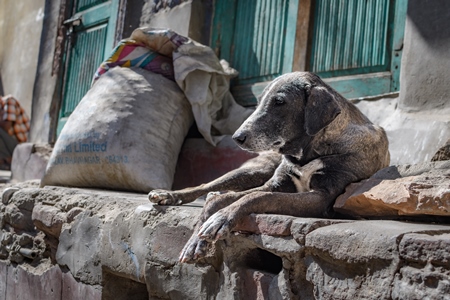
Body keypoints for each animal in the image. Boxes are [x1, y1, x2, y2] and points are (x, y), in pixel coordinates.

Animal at [149, 71, 388, 262]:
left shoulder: (322, 197)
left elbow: (255, 197)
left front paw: (221, 218)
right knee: (206, 186)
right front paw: (196, 239)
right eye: (260, 101)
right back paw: (167, 195)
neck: (309, 152)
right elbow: (227, 199)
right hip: (252, 171)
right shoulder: (274, 184)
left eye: (279, 102)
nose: (237, 137)